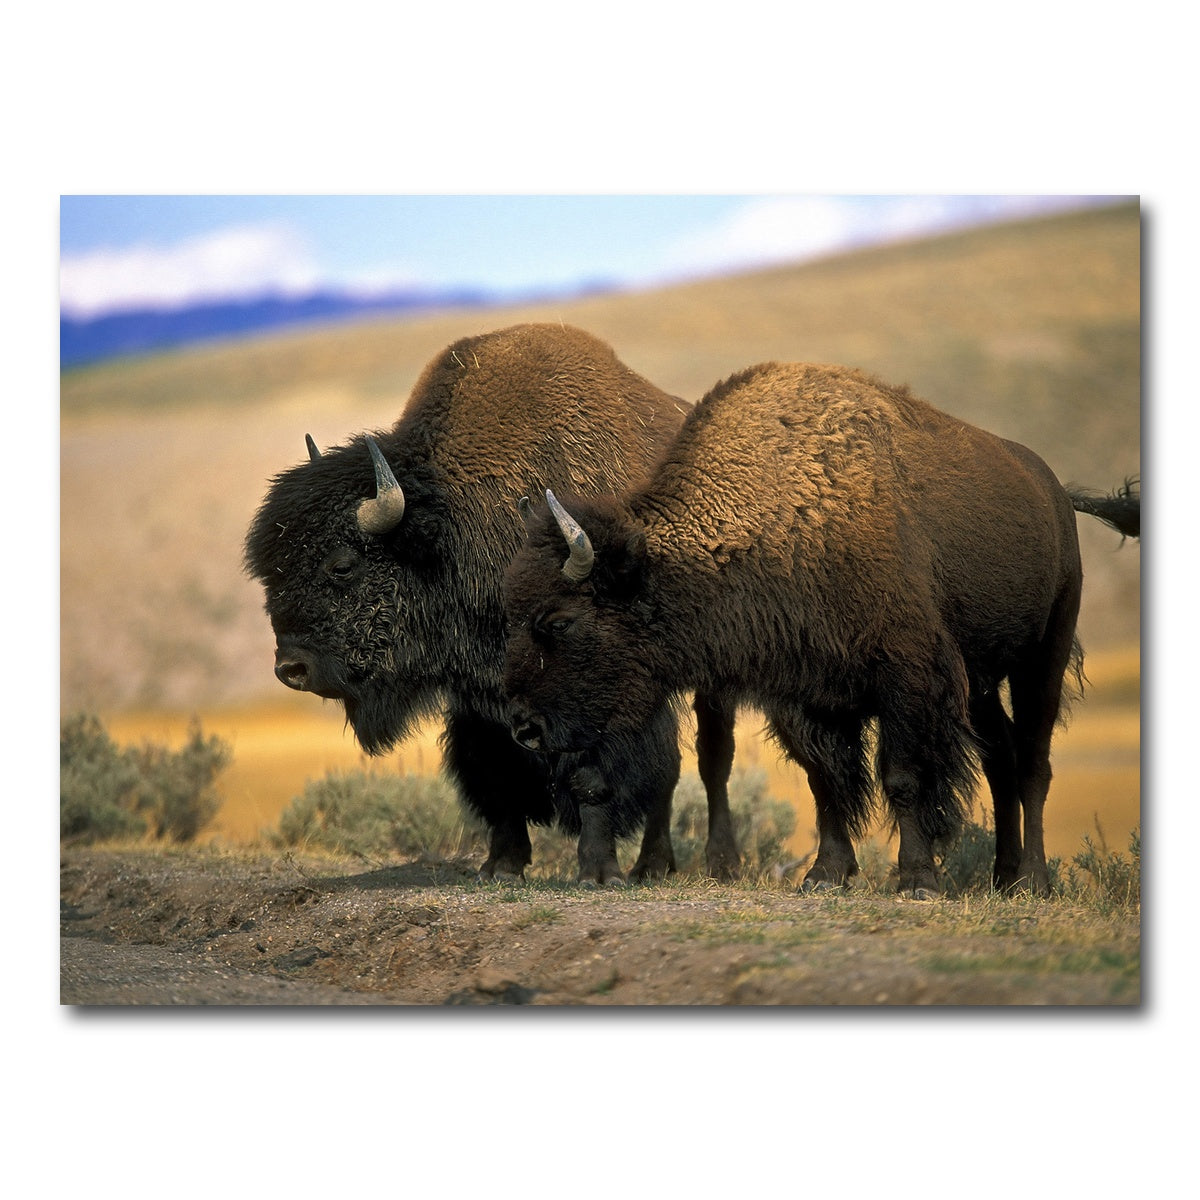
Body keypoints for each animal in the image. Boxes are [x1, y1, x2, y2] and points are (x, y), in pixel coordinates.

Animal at [244, 323, 736, 884]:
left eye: (343, 566)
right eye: (270, 571)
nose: (291, 668)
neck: (454, 528)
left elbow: (596, 775)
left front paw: (598, 871)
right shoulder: (478, 698)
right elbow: (497, 773)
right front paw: (502, 865)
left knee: (705, 760)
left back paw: (690, 864)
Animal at [503, 361, 1139, 898]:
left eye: (558, 620)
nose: (523, 727)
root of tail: (1054, 491)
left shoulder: (907, 678)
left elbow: (902, 776)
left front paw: (917, 880)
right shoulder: (806, 696)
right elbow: (826, 780)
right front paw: (825, 875)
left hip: (1043, 657)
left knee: (1033, 762)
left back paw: (1033, 879)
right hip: (981, 680)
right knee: (1000, 758)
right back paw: (1002, 878)